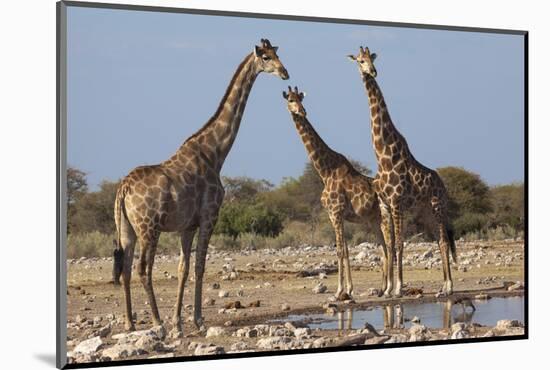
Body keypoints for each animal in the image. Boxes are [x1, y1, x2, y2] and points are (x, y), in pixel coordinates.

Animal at [113, 39, 292, 334]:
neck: (215, 153)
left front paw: (179, 321)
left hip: (127, 228)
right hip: (149, 228)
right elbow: (200, 267)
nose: (285, 73)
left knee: (126, 267)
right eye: (266, 57)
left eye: (277, 54)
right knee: (142, 269)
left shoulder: (187, 226)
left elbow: (183, 269)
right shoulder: (210, 217)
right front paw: (196, 320)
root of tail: (123, 189)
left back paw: (130, 322)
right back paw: (157, 322)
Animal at [284, 86, 392, 300]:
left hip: (384, 218)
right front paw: (348, 289)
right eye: (291, 100)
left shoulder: (335, 212)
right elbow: (346, 250)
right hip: (373, 221)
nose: (302, 111)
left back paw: (389, 288)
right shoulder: (335, 215)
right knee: (384, 249)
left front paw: (339, 291)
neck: (325, 171)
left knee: (392, 247)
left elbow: (340, 251)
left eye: (300, 99)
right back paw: (382, 289)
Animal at [350, 46, 462, 298]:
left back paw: (448, 287)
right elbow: (391, 245)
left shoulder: (397, 202)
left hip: (437, 207)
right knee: (438, 241)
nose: (373, 71)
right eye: (360, 61)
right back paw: (443, 286)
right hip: (425, 213)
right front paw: (389, 289)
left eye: (372, 59)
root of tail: (443, 186)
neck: (383, 155)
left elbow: (400, 244)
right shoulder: (386, 205)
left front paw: (399, 288)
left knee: (443, 241)